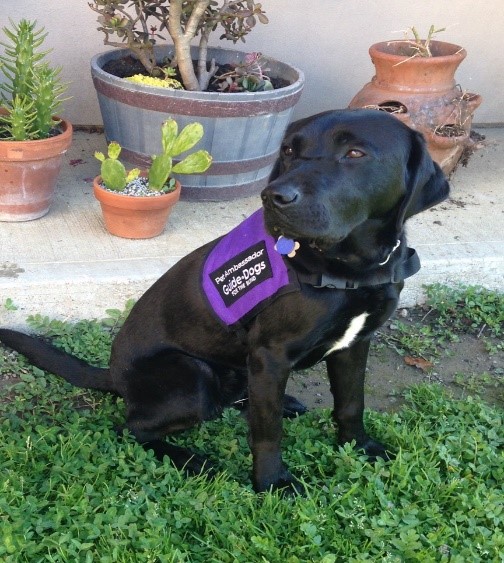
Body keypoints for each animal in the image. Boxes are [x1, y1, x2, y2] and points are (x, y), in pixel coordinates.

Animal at [0, 110, 448, 494]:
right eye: (289, 151)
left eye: (355, 153)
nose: (273, 197)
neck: (351, 269)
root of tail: (114, 375)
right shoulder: (270, 354)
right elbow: (267, 433)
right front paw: (272, 483)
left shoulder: (354, 345)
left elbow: (351, 404)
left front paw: (359, 447)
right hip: (192, 376)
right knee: (134, 428)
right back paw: (191, 459)